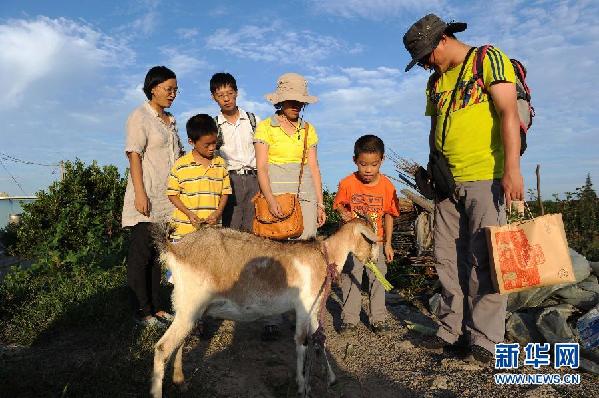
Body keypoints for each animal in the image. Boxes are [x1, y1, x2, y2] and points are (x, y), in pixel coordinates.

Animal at [150, 219, 378, 396]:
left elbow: (319, 339)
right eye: (370, 239)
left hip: (188, 310)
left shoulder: (314, 308)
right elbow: (301, 342)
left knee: (179, 342)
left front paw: (330, 378)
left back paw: (180, 382)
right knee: (162, 348)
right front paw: (302, 385)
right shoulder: (304, 306)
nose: (374, 259)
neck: (323, 255)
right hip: (190, 305)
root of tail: (175, 249)